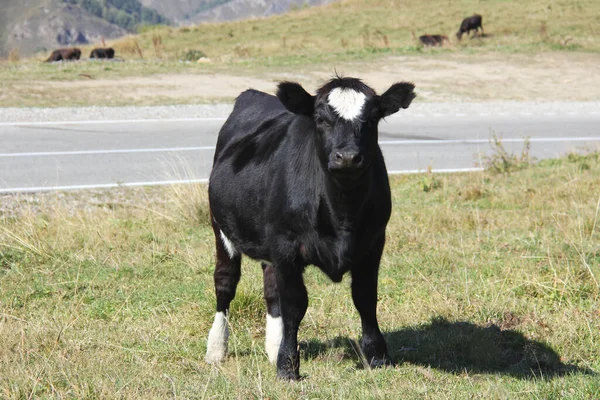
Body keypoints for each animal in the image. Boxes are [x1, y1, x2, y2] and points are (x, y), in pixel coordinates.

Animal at [206, 76, 418, 380]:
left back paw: (273, 347)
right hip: (221, 228)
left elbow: (365, 298)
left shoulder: (373, 243)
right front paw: (287, 367)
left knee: (271, 289)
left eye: (372, 118)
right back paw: (216, 349)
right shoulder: (286, 246)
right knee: (225, 284)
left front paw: (378, 357)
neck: (342, 213)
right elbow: (295, 305)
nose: (347, 157)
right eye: (320, 119)